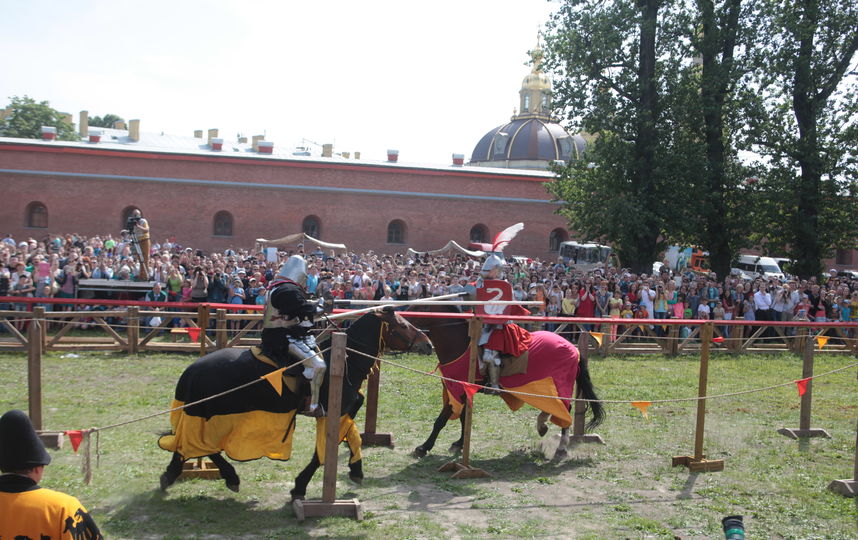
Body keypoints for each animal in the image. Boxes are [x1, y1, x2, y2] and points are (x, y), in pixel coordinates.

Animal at [157, 308, 432, 498]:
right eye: (402, 325)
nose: (427, 344)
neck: (344, 360)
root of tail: (193, 370)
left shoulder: (344, 412)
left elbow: (352, 437)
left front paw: (356, 471)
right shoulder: (331, 413)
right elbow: (322, 453)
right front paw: (299, 487)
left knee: (189, 444)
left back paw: (171, 474)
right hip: (211, 412)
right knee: (200, 444)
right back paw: (228, 477)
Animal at [406, 304, 600, 460]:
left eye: (418, 308)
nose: (402, 316)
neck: (461, 345)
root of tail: (573, 348)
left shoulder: (458, 390)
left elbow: (442, 419)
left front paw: (423, 447)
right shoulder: (463, 391)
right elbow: (463, 418)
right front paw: (459, 444)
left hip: (559, 385)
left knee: (565, 410)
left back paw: (560, 448)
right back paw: (542, 425)